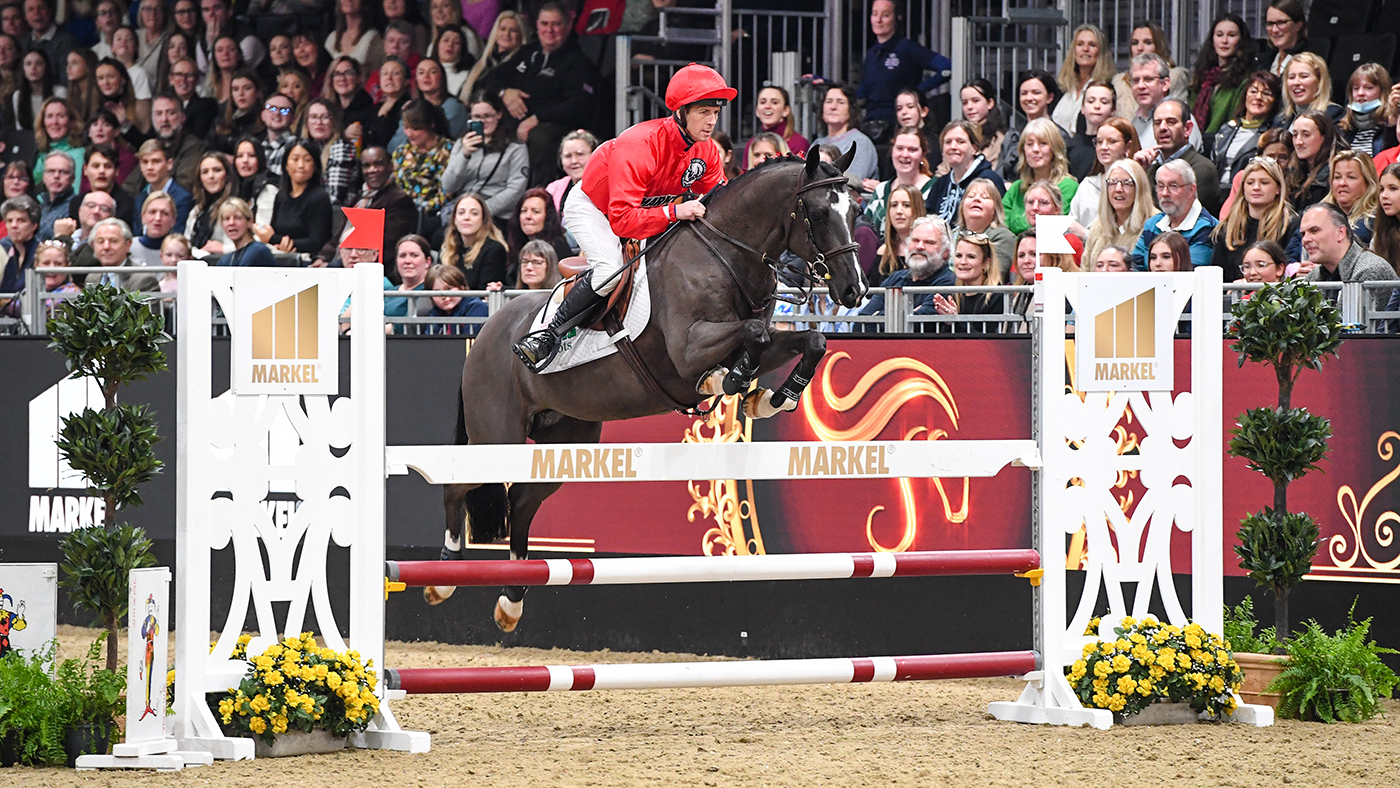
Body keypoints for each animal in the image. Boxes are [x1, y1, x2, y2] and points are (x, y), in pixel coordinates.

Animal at [428, 147, 868, 631]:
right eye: (821, 212)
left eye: (857, 210)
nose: (855, 289)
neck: (726, 256)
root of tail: (488, 330)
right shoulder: (688, 349)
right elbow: (750, 335)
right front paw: (730, 380)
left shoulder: (765, 340)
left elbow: (808, 340)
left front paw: (770, 397)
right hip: (497, 436)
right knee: (456, 487)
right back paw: (443, 577)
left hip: (565, 437)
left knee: (522, 501)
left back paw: (511, 600)